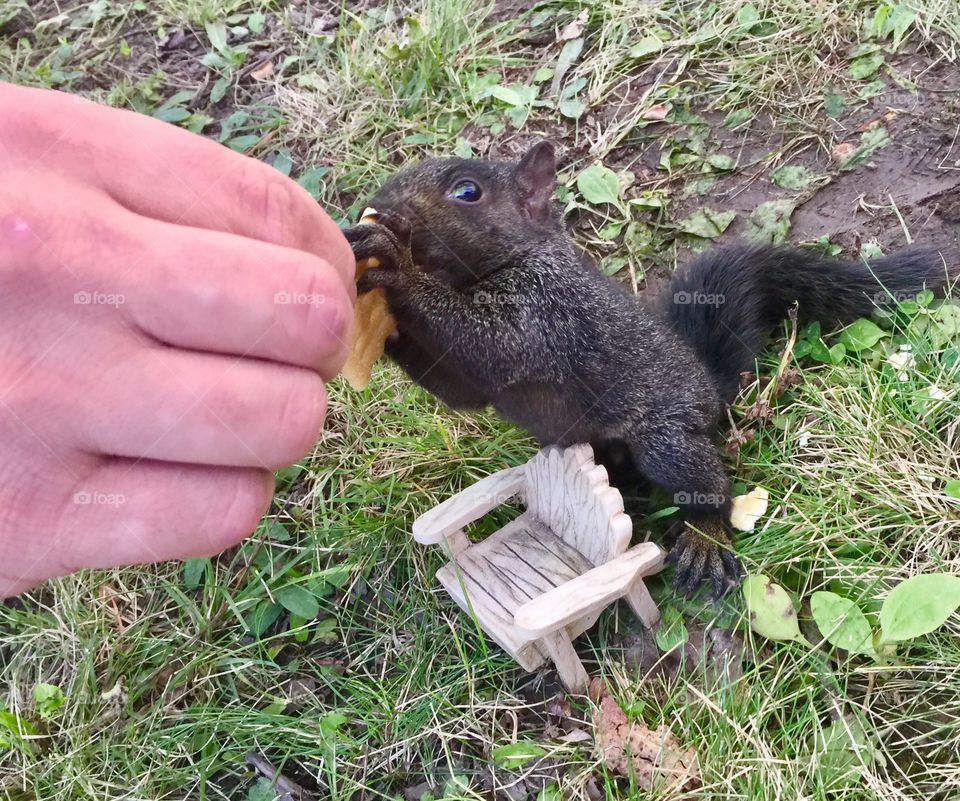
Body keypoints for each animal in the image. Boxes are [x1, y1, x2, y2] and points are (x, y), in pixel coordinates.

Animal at [343, 141, 950, 599]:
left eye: (467, 191)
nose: (377, 206)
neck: (488, 271)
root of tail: (710, 388)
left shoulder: (546, 309)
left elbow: (489, 345)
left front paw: (394, 265)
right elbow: (461, 387)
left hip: (668, 438)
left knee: (707, 484)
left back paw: (705, 539)